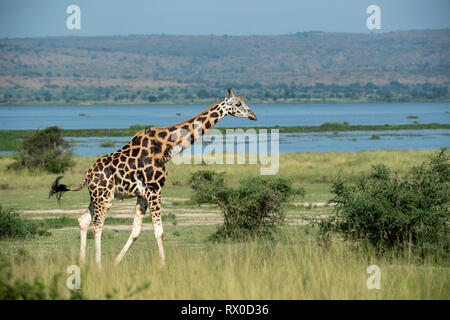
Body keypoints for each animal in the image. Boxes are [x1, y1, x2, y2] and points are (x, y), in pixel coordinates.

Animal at [49, 87, 256, 270]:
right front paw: (164, 266)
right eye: (238, 103)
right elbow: (159, 231)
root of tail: (87, 176)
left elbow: (135, 231)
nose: (253, 115)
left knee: (83, 220)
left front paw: (116, 262)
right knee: (97, 226)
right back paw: (98, 265)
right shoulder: (155, 190)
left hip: (97, 197)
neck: (165, 147)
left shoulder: (143, 194)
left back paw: (82, 262)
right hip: (104, 196)